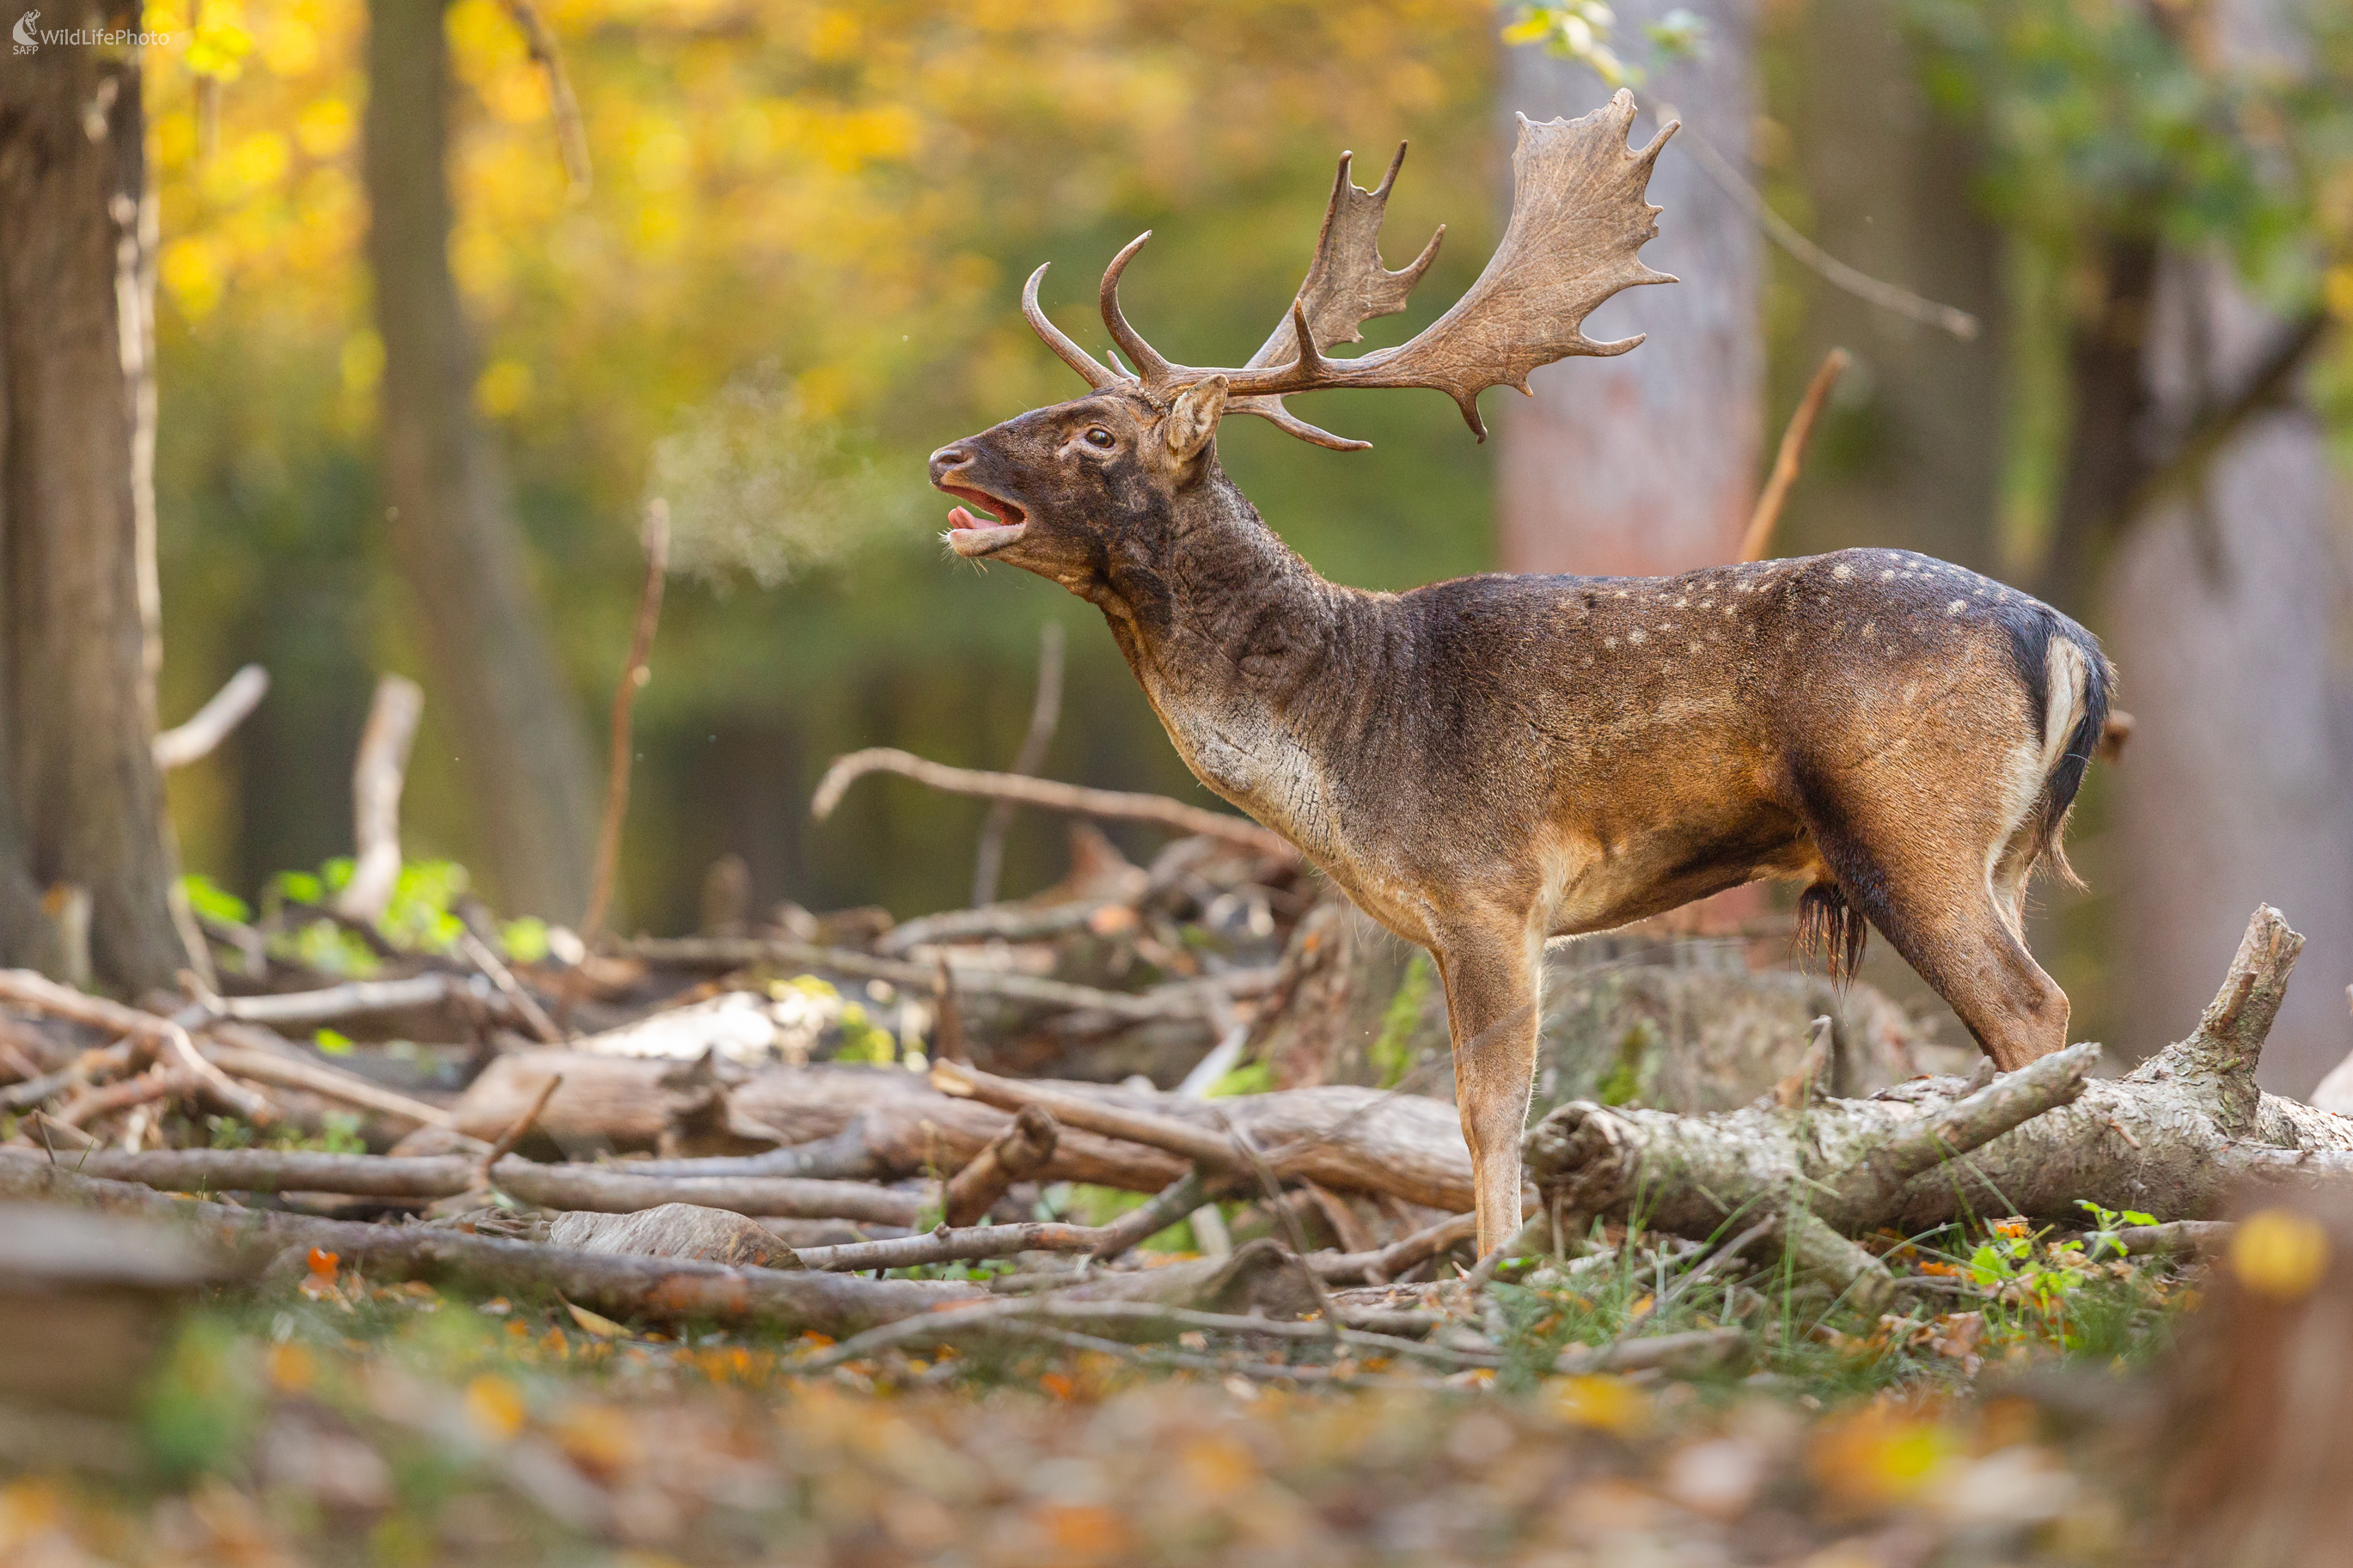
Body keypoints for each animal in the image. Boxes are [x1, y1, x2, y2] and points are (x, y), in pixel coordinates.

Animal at [926, 91, 2114, 1257]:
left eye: (1094, 434)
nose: (947, 457)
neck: (1343, 733)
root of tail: (2072, 642)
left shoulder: (1487, 891)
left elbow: (1486, 1110)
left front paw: (1497, 1271)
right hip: (2004, 853)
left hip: (1907, 821)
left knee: (2029, 1009)